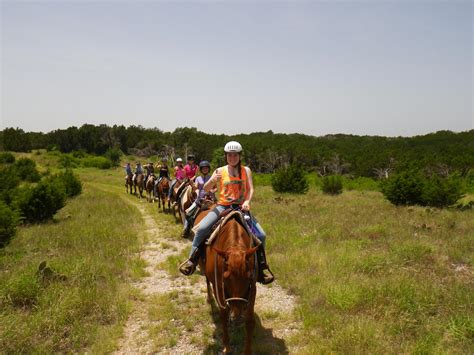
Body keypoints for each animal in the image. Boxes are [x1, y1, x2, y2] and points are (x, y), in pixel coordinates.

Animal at [197, 211, 262, 355]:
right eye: (225, 278)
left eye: (248, 277)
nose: (236, 314)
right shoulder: (218, 287)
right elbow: (223, 315)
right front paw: (226, 346)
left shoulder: (253, 288)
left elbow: (250, 321)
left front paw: (247, 351)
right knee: (206, 281)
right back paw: (210, 299)